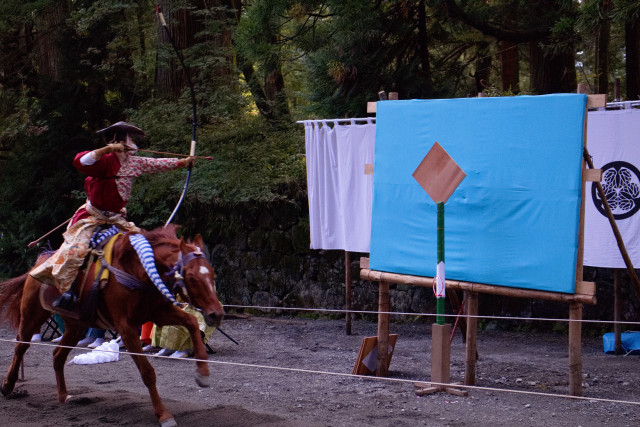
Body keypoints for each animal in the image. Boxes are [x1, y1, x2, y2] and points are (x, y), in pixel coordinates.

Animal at [0, 226, 225, 426]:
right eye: (192, 277)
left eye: (212, 274)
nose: (216, 313)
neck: (139, 270)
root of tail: (40, 262)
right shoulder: (126, 328)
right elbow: (147, 372)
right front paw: (163, 414)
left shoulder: (158, 313)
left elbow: (192, 322)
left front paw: (203, 372)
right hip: (32, 314)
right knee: (21, 346)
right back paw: (8, 385)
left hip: (76, 325)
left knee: (57, 355)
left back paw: (63, 395)